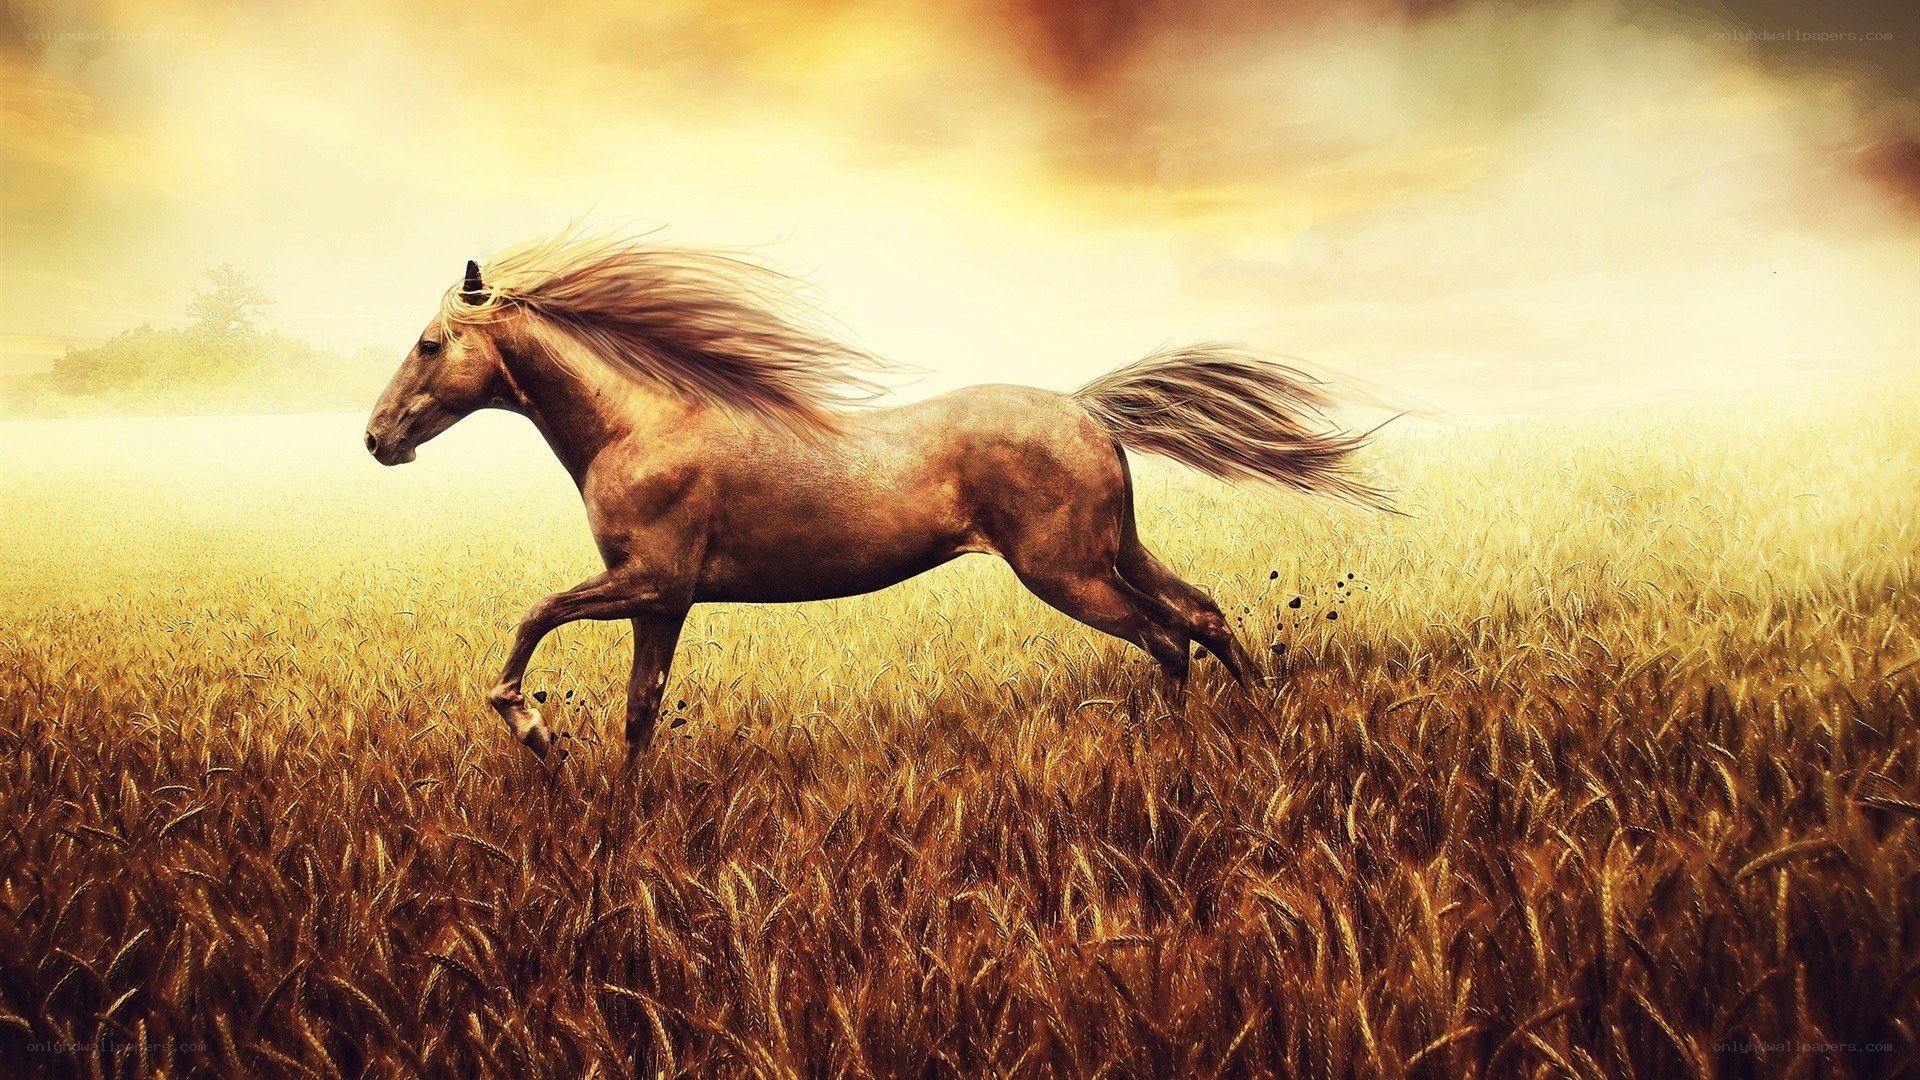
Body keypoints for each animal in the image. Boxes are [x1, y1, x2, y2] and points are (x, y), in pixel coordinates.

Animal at [365, 231, 1388, 758]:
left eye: (428, 343)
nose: (376, 440)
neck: (639, 426)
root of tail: (1087, 409)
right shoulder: (662, 602)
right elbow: (639, 714)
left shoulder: (651, 581)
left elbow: (534, 616)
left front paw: (532, 727)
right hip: (1113, 550)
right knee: (1203, 613)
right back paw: (1259, 723)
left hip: (1065, 572)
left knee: (1165, 636)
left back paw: (1181, 754)